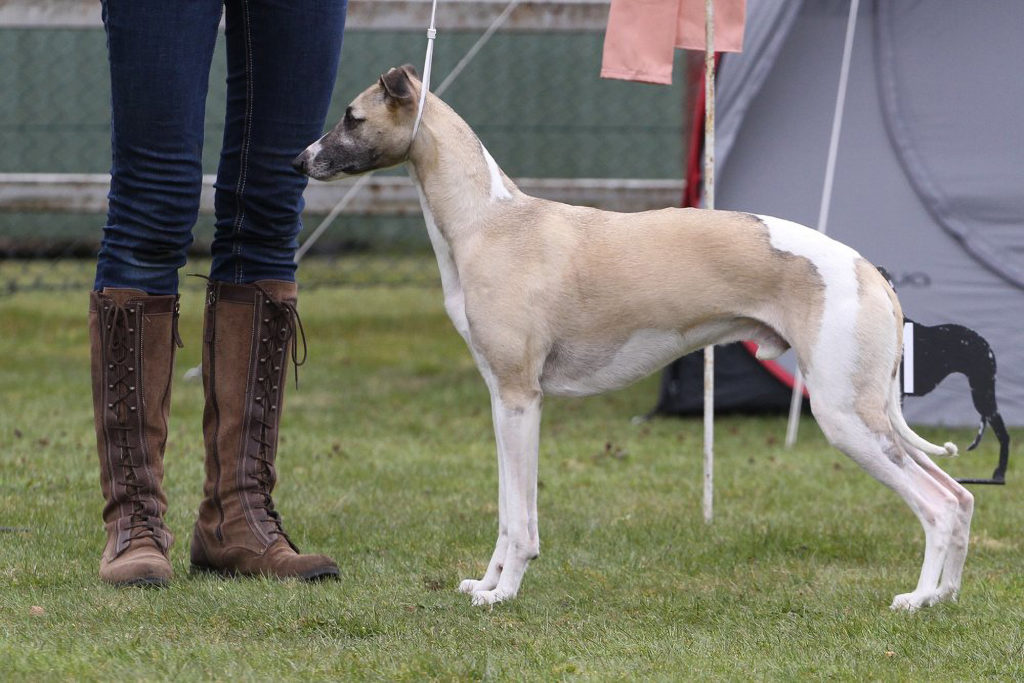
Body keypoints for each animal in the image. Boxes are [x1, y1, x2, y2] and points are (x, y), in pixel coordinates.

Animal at [294, 66, 974, 610]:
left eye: (351, 115)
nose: (299, 161)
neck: (489, 220)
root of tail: (871, 273)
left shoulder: (519, 397)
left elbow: (521, 521)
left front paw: (503, 594)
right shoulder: (499, 397)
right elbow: (506, 510)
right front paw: (484, 584)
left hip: (843, 413)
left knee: (936, 505)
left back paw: (916, 600)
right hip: (868, 411)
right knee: (960, 496)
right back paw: (943, 597)